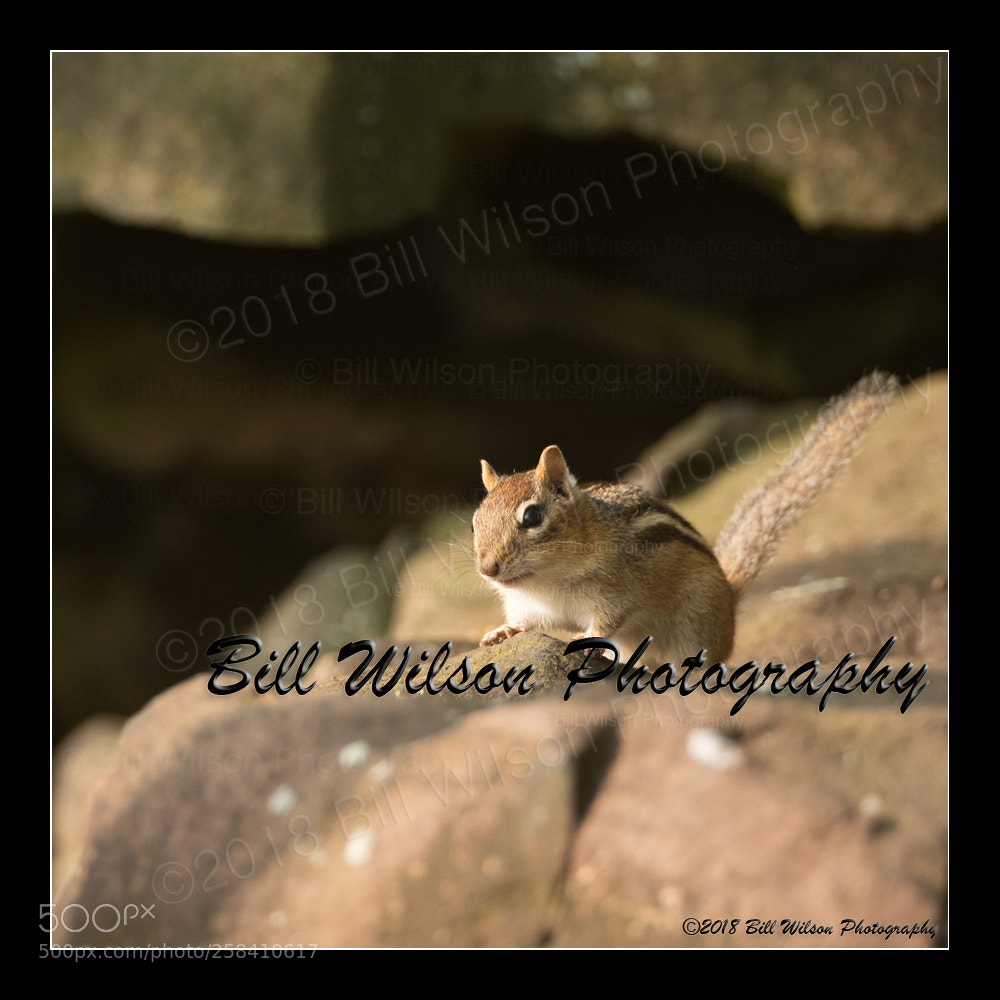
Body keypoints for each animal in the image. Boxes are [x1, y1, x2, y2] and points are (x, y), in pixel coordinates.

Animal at [472, 372, 899, 665]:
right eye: (475, 521)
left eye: (532, 516)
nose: (487, 569)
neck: (547, 580)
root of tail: (729, 602)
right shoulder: (530, 606)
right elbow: (526, 623)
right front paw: (501, 631)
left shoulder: (616, 590)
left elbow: (605, 623)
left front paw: (582, 640)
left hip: (695, 626)